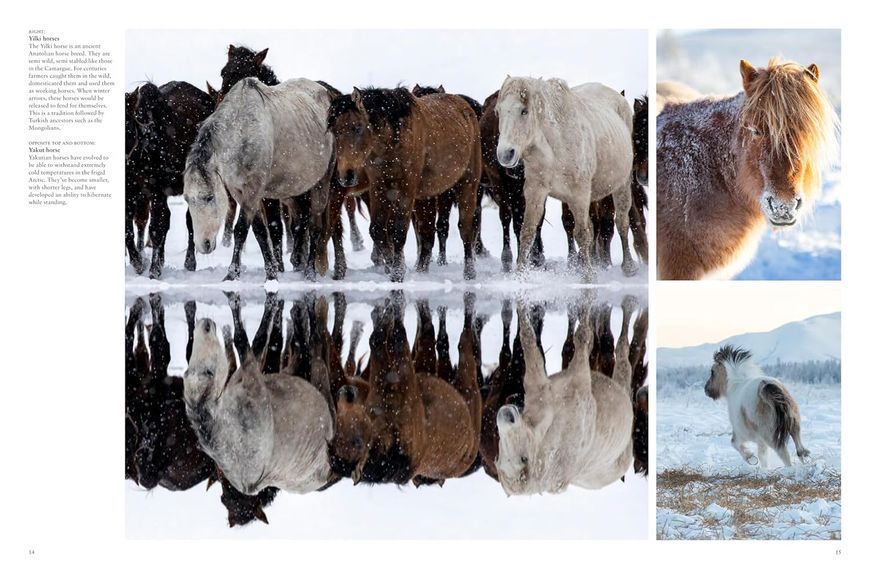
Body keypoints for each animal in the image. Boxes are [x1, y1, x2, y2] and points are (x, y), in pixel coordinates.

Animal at [125, 82, 215, 278]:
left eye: (127, 125)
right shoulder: (130, 192)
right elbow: (128, 229)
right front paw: (138, 263)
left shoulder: (157, 190)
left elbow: (157, 227)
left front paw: (153, 270)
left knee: (189, 222)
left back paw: (189, 262)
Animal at [184, 78, 335, 281]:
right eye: (187, 199)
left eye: (209, 197)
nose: (203, 245)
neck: (242, 131)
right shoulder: (240, 192)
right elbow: (260, 231)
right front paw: (271, 272)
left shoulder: (253, 191)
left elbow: (241, 230)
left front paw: (231, 274)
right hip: (295, 190)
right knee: (300, 223)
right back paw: (298, 264)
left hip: (321, 184)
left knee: (314, 226)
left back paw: (310, 272)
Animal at [327, 87, 482, 282]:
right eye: (334, 130)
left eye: (357, 127)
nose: (346, 175)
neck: (394, 140)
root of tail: (465, 106)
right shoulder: (379, 187)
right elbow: (377, 230)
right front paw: (392, 265)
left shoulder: (407, 189)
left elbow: (399, 231)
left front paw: (397, 273)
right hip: (426, 197)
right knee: (427, 232)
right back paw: (421, 270)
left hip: (467, 184)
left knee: (466, 228)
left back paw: (470, 272)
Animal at [496, 78, 636, 278]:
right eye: (498, 111)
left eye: (524, 111)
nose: (505, 154)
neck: (555, 146)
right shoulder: (535, 191)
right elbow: (527, 231)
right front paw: (520, 274)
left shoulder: (580, 194)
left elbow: (582, 234)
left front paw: (588, 276)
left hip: (622, 184)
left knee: (622, 222)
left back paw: (628, 266)